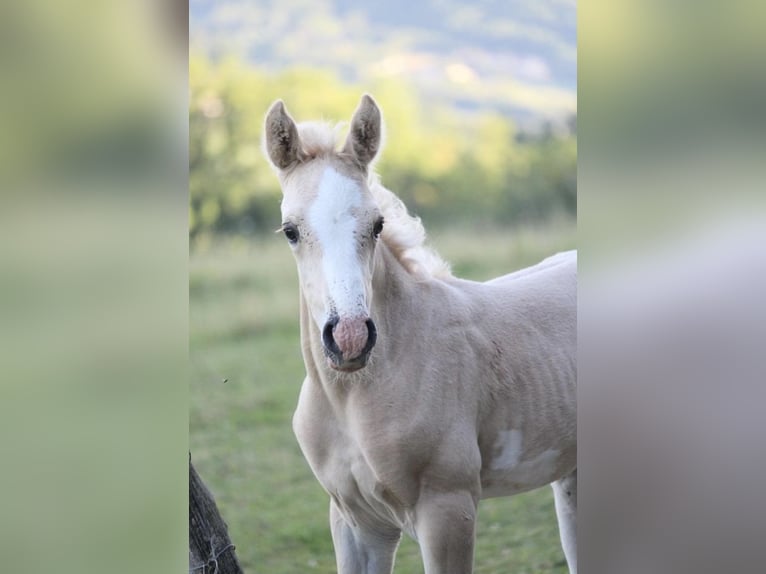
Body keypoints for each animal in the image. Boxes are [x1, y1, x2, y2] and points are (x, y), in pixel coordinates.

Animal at [264, 95, 576, 574]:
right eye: (291, 231)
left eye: (377, 224)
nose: (350, 338)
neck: (351, 398)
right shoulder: (356, 521)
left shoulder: (447, 508)